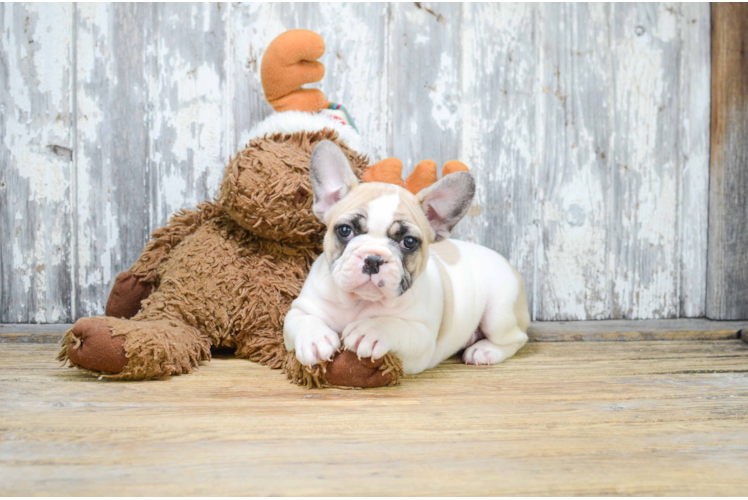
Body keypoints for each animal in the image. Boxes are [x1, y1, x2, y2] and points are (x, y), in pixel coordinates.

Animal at [284, 141, 528, 376]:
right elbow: (303, 319)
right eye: (345, 230)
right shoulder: (298, 310)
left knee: (516, 339)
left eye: (409, 242)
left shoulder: (421, 338)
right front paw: (315, 339)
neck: (359, 302)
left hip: (499, 312)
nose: (373, 259)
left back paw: (484, 351)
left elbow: (394, 325)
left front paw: (371, 330)